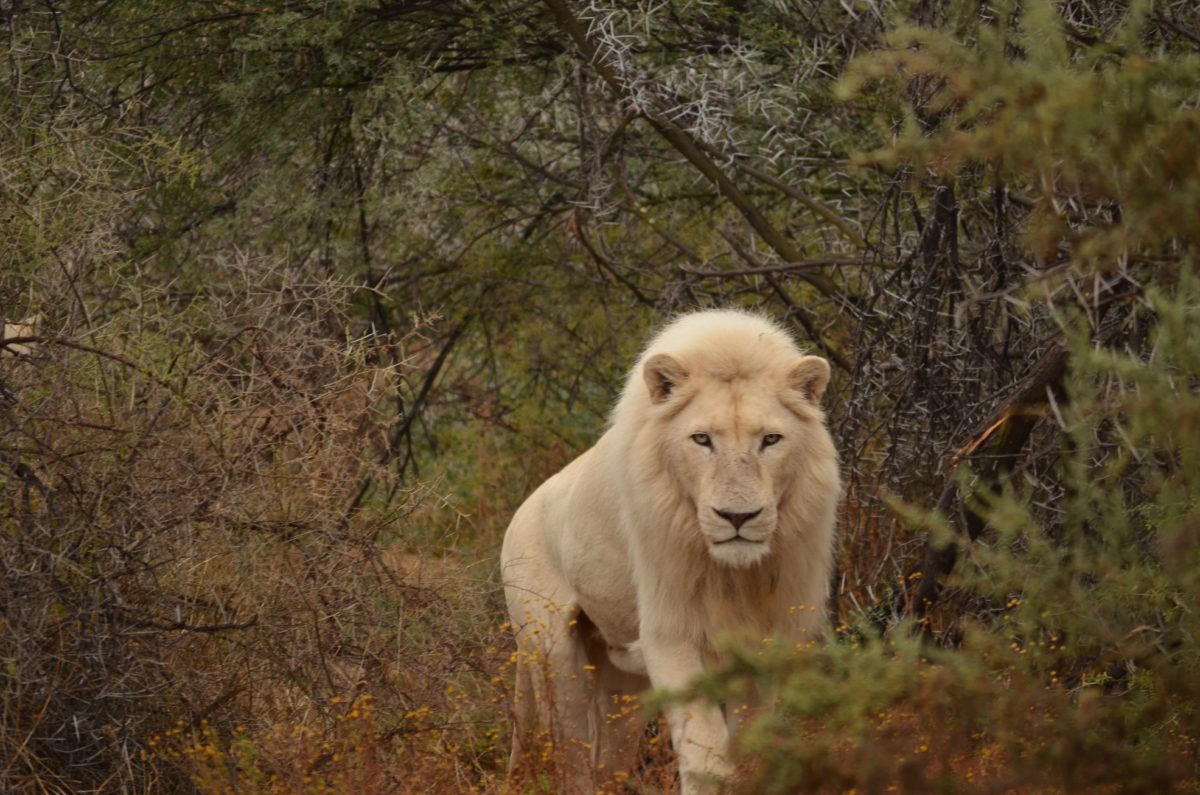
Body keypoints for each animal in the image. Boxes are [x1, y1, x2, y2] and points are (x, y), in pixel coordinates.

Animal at [501, 307, 840, 792]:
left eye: (770, 440)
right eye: (702, 440)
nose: (738, 517)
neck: (734, 574)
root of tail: (518, 513)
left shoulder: (767, 637)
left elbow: (749, 743)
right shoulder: (670, 630)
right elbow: (705, 746)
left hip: (619, 678)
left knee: (608, 756)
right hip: (551, 654)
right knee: (572, 753)